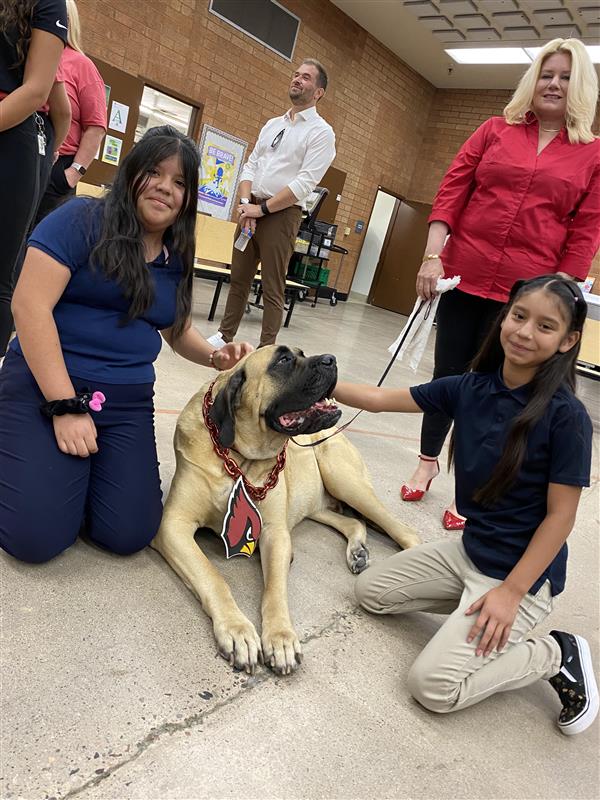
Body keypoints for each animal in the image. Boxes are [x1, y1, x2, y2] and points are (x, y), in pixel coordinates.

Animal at [152, 344, 420, 676]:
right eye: (283, 360)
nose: (331, 359)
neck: (239, 458)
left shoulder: (275, 533)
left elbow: (275, 591)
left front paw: (280, 638)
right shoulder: (173, 524)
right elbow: (213, 576)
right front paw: (238, 630)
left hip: (344, 479)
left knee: (404, 530)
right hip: (316, 501)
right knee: (354, 523)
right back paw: (358, 551)